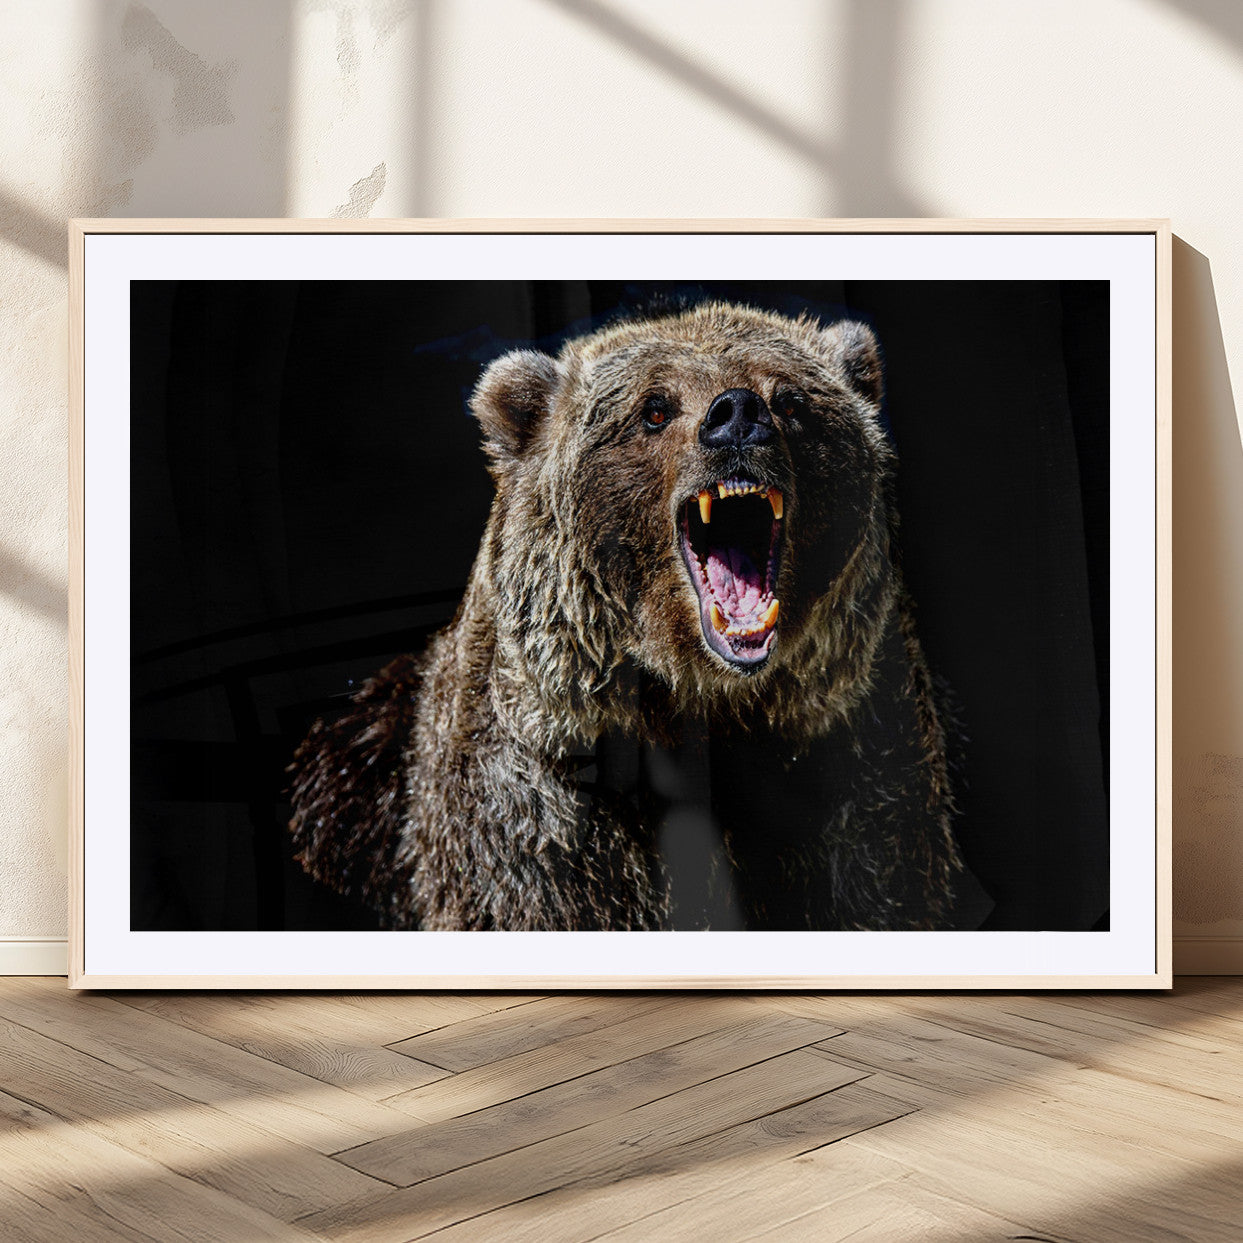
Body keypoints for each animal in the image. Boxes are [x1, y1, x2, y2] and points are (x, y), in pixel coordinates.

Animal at [289, 301, 964, 931]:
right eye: (654, 409)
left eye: (790, 399)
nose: (738, 415)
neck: (705, 704)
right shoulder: (549, 807)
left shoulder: (853, 762)